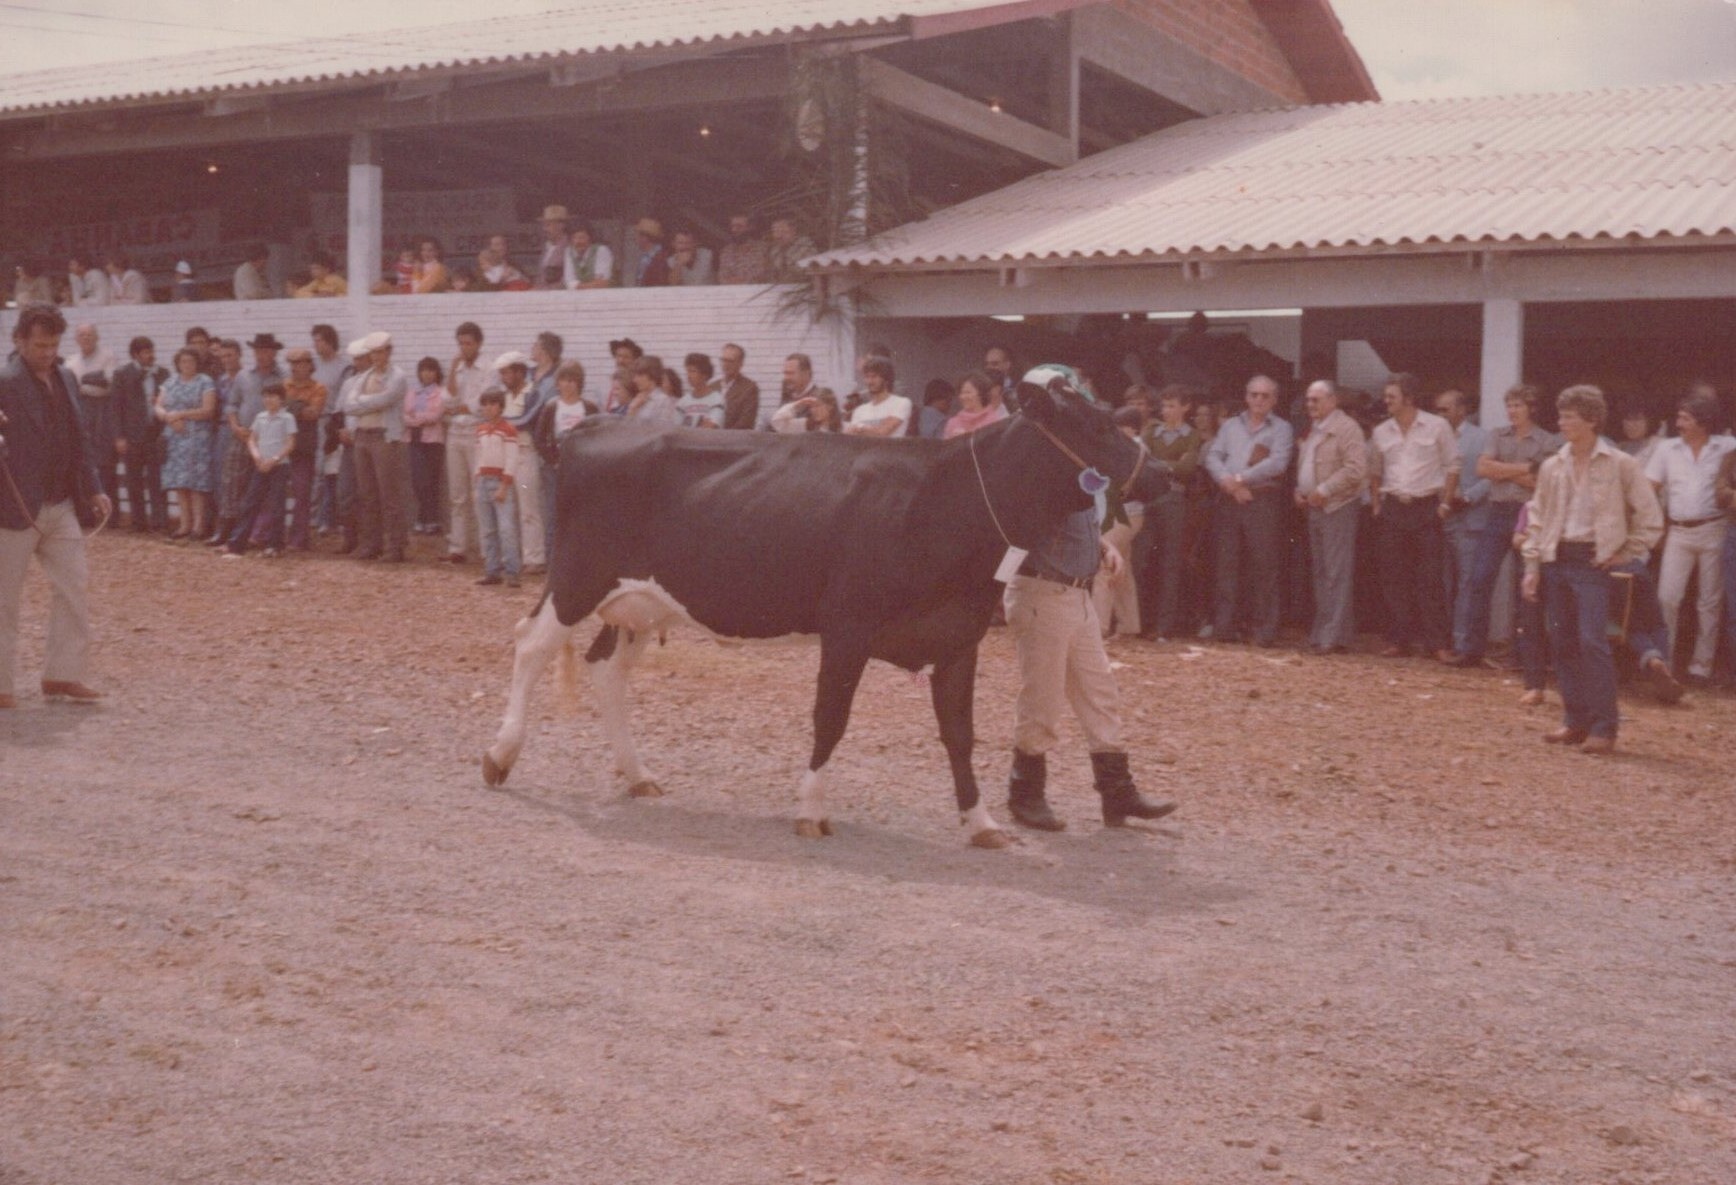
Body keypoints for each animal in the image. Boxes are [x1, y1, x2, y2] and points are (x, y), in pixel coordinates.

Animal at [481, 375, 1170, 847]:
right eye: (1097, 426)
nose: (1161, 473)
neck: (944, 498)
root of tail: (590, 427)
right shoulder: (847, 627)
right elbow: (829, 719)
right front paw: (811, 809)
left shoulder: (958, 638)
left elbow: (960, 734)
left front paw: (981, 822)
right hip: (578, 577)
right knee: (530, 644)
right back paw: (500, 756)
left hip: (640, 602)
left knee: (607, 670)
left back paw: (637, 773)